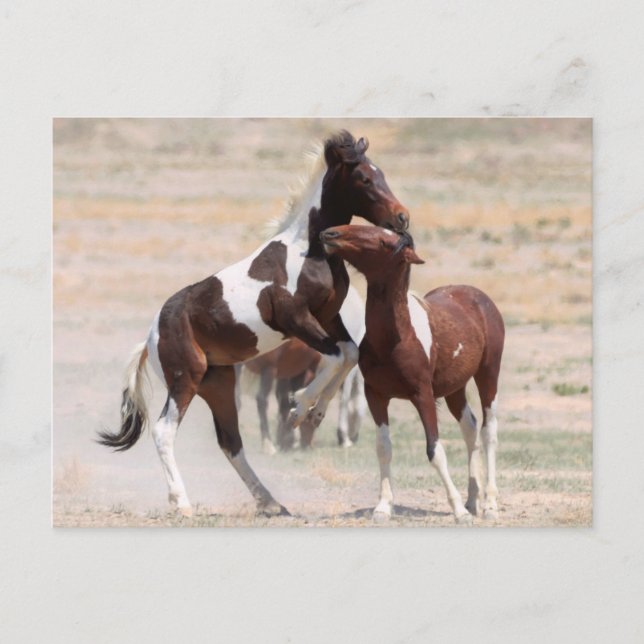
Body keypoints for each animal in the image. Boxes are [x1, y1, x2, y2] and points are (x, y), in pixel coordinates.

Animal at [243, 284, 367, 452]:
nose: (308, 445)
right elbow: (344, 398)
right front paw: (343, 436)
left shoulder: (290, 370)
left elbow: (285, 400)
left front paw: (286, 438)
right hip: (268, 368)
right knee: (261, 399)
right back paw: (268, 445)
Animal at [320, 225, 504, 524]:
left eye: (384, 241)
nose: (330, 234)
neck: (396, 337)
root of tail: (479, 297)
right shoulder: (376, 396)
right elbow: (383, 448)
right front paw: (383, 507)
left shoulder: (423, 396)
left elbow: (435, 451)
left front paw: (458, 511)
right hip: (455, 389)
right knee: (470, 428)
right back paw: (472, 499)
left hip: (488, 375)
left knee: (489, 432)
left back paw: (489, 505)